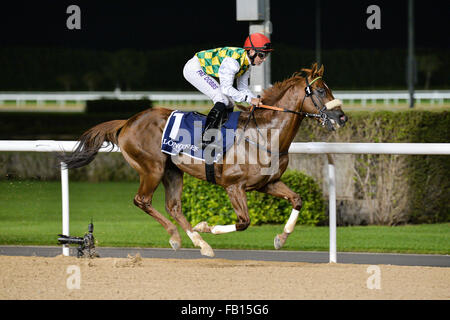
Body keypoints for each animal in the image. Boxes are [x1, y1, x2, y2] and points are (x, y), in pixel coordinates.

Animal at [59, 63, 348, 258]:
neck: (263, 134)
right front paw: (207, 227)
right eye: (320, 90)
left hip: (173, 171)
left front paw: (281, 237)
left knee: (174, 206)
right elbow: (244, 222)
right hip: (152, 168)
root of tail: (128, 121)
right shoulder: (234, 186)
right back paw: (178, 237)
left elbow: (297, 199)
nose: (342, 117)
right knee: (142, 200)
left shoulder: (267, 183)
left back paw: (200, 243)